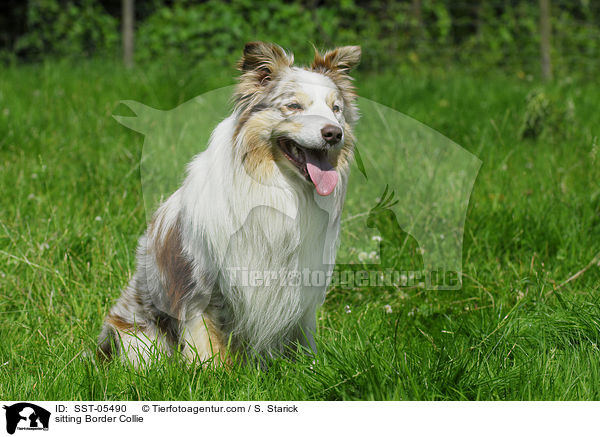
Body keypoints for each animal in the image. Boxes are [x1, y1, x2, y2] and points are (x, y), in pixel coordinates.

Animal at [98, 42, 360, 366]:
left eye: (336, 110)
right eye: (294, 106)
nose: (334, 133)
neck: (281, 190)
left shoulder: (300, 292)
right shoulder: (202, 289)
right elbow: (208, 346)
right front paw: (212, 374)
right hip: (138, 335)